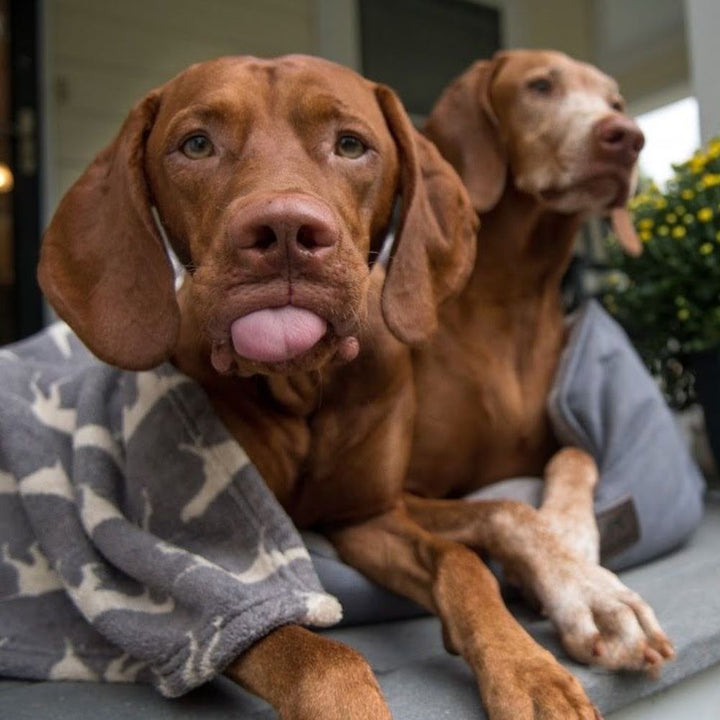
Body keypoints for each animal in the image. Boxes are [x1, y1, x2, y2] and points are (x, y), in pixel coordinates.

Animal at [38, 52, 600, 720]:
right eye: (196, 144)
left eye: (351, 145)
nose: (284, 231)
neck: (301, 384)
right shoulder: (214, 576)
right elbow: (313, 652)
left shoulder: (366, 518)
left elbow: (461, 562)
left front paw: (529, 668)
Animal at [402, 49, 672, 676]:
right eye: (540, 86)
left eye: (616, 101)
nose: (628, 138)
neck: (513, 297)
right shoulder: (397, 493)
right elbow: (505, 508)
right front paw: (590, 593)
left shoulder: (559, 440)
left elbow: (576, 456)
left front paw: (573, 545)